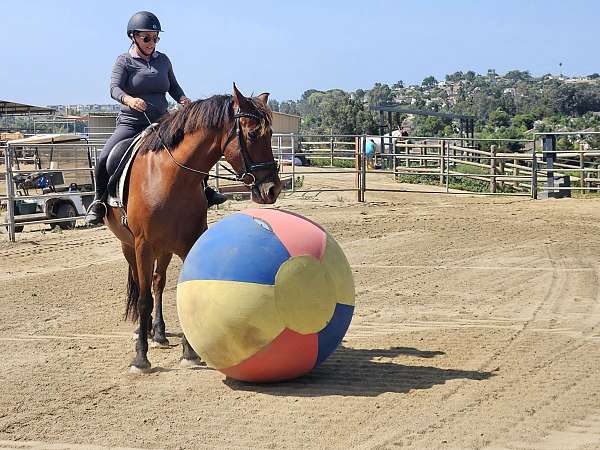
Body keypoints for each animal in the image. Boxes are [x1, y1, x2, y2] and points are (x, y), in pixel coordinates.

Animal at [104, 84, 282, 372]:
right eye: (253, 134)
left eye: (271, 135)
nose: (272, 189)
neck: (171, 177)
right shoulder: (143, 245)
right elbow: (143, 300)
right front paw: (140, 358)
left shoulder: (189, 242)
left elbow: (185, 293)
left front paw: (189, 353)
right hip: (129, 246)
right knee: (143, 287)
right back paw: (143, 332)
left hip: (164, 249)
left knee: (158, 283)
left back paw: (159, 333)